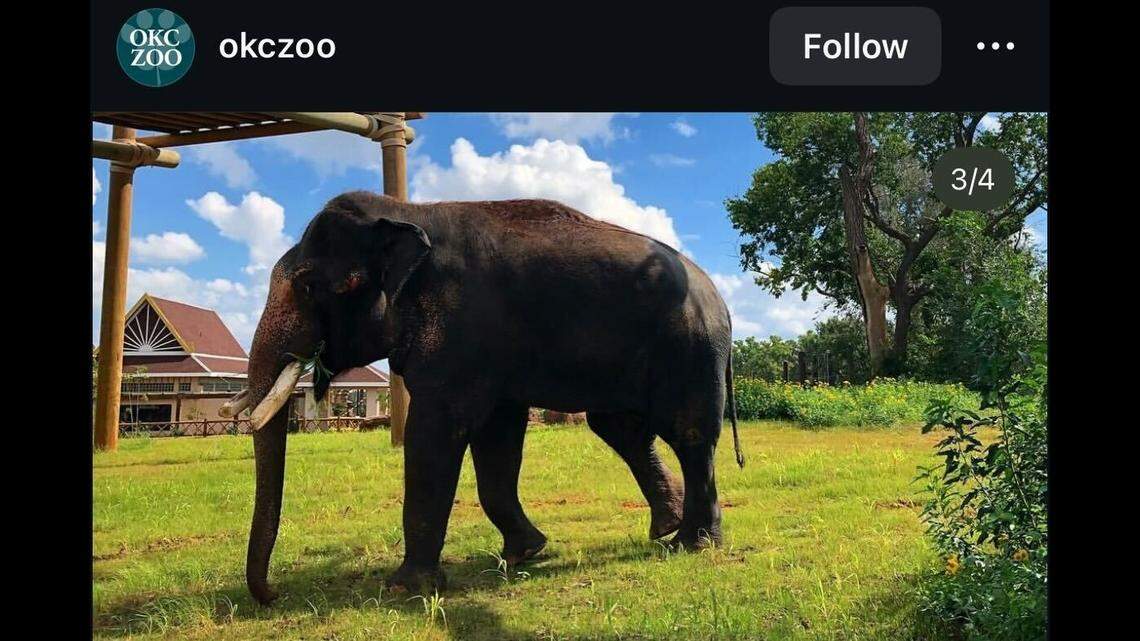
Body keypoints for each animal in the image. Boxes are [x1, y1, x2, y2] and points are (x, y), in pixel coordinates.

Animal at [233, 190, 743, 604]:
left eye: (308, 285)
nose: (273, 594)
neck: (407, 213)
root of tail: (721, 300)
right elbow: (497, 438)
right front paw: (524, 554)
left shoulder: (460, 335)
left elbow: (435, 433)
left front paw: (404, 589)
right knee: (623, 430)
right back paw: (666, 529)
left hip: (689, 351)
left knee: (689, 435)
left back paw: (692, 543)